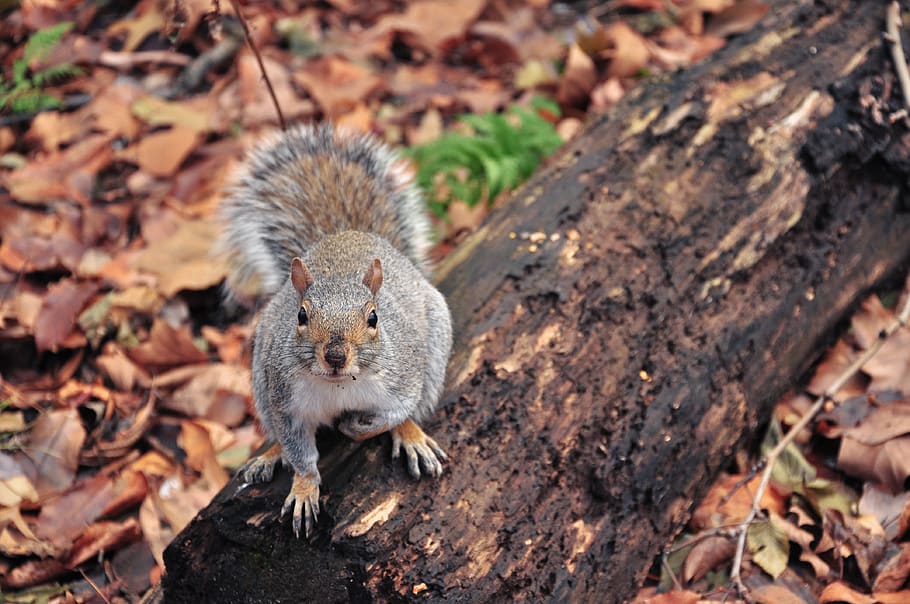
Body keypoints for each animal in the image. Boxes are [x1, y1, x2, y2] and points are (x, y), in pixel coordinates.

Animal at [217, 124, 453, 539]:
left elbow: (394, 412)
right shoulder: (285, 399)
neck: (339, 387)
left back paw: (411, 436)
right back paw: (270, 453)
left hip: (436, 345)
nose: (336, 356)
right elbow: (299, 450)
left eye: (374, 318)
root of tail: (351, 233)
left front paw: (360, 427)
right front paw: (304, 487)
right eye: (300, 315)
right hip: (260, 377)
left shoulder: (403, 377)